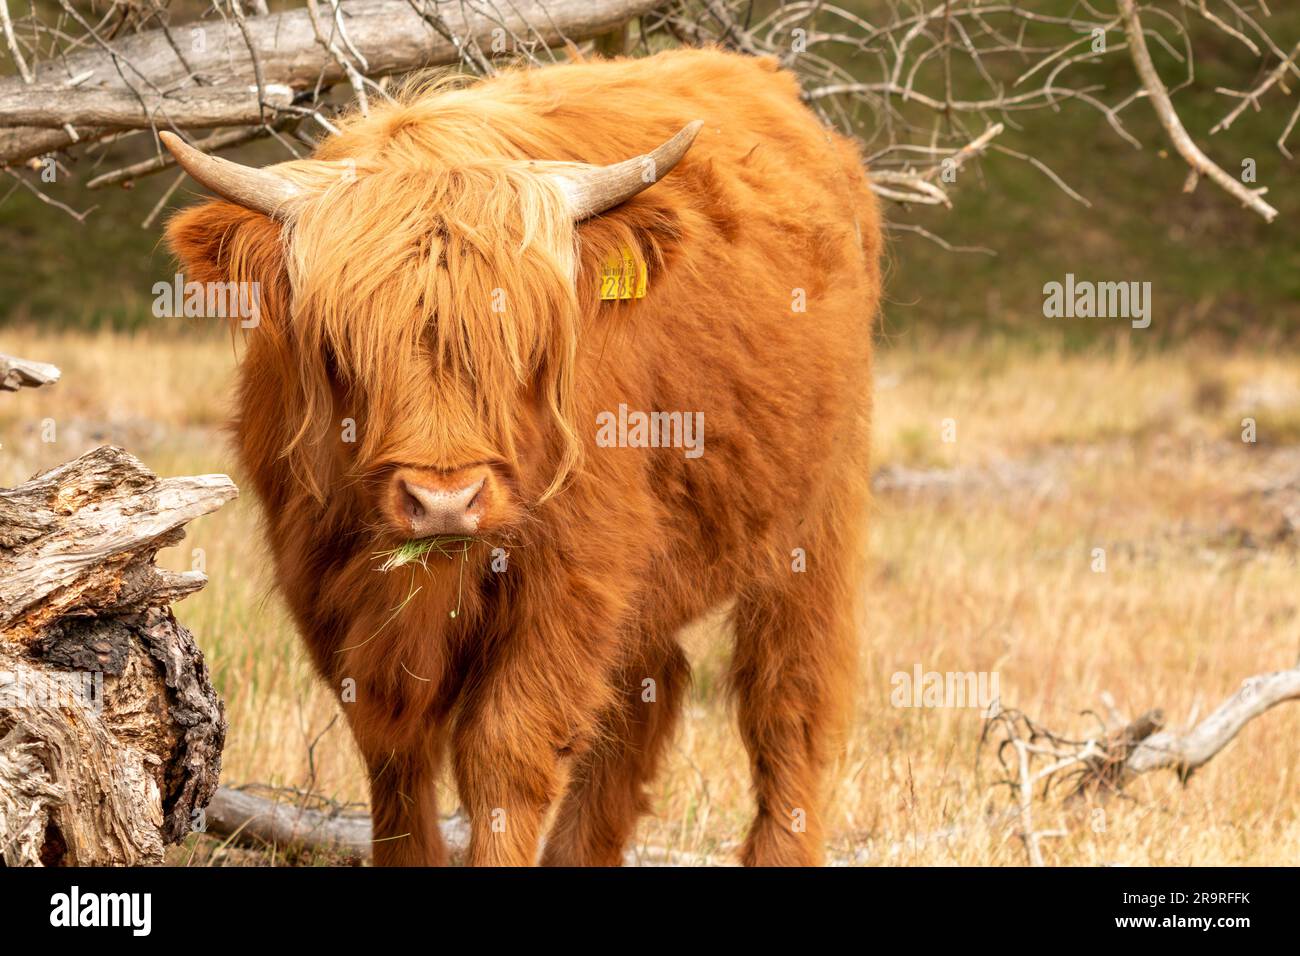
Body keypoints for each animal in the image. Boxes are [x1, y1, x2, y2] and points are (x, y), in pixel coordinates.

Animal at [157, 50, 878, 868]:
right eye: (340, 343)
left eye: (523, 341)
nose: (443, 501)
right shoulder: (324, 577)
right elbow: (394, 751)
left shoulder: (575, 576)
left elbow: (505, 756)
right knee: (649, 693)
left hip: (815, 519)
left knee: (787, 702)